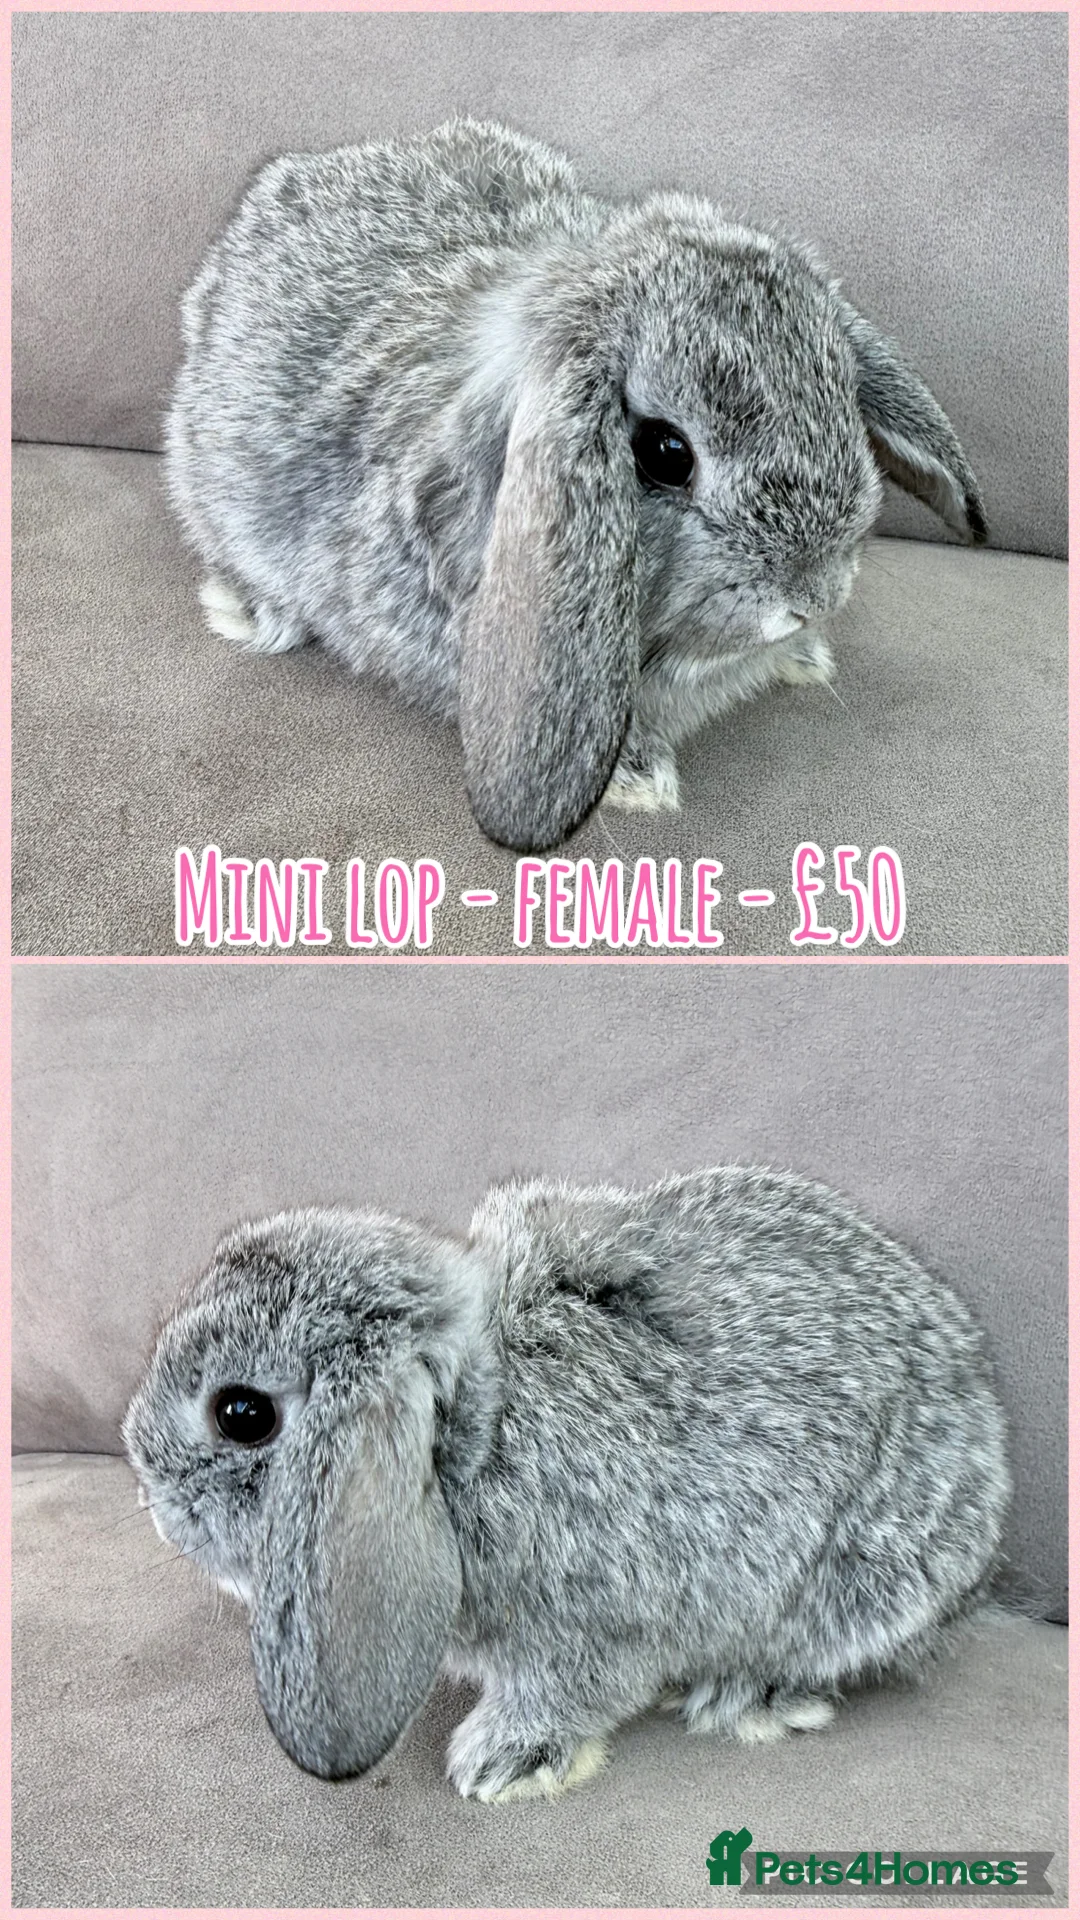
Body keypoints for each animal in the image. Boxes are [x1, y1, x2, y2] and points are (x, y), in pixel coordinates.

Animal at [123, 1167, 1010, 1803]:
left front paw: (498, 1762)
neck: (477, 1432)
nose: (158, 1510)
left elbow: (567, 1694)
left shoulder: (594, 1624)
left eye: (242, 1415)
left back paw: (746, 1697)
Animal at [164, 120, 986, 853]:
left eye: (843, 399)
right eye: (664, 453)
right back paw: (251, 612)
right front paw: (641, 782)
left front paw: (805, 660)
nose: (812, 597)